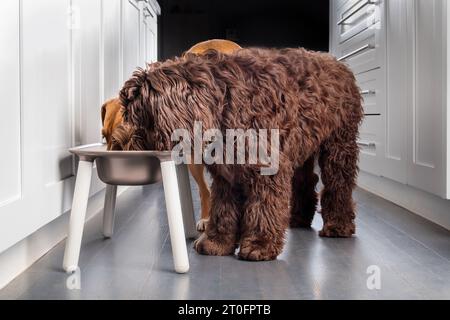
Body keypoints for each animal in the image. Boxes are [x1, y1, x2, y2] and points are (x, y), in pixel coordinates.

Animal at [114, 48, 364, 262]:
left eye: (141, 119)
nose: (129, 148)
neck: (223, 101)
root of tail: (338, 63)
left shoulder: (266, 167)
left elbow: (263, 206)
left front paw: (259, 245)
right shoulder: (227, 172)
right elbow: (222, 209)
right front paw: (217, 242)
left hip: (338, 144)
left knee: (338, 183)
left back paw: (338, 226)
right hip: (303, 144)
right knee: (306, 181)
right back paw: (298, 218)